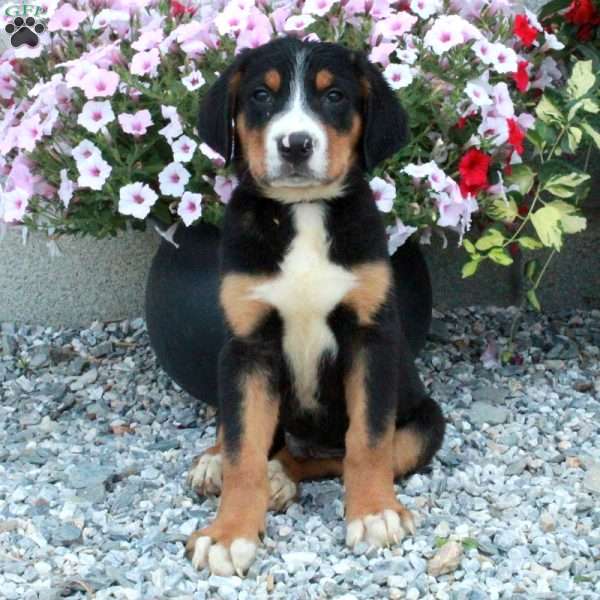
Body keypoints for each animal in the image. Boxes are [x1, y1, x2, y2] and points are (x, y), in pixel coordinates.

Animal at [186, 37, 446, 576]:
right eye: (262, 96)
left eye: (334, 97)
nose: (295, 144)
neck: (302, 210)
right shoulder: (248, 346)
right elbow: (244, 449)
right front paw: (228, 534)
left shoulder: (370, 339)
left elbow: (368, 442)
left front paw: (374, 514)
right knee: (250, 438)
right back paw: (216, 461)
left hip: (426, 423)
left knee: (335, 455)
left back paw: (283, 477)